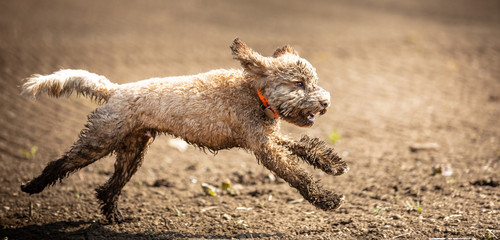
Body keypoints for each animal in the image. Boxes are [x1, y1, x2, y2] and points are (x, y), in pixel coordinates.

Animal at [19, 37, 348, 223]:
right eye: (299, 83)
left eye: (313, 81)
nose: (325, 103)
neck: (254, 92)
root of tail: (114, 91)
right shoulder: (263, 146)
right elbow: (299, 176)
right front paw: (326, 199)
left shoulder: (269, 137)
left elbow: (305, 147)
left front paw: (332, 164)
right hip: (101, 138)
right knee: (61, 163)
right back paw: (33, 186)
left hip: (133, 149)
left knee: (109, 186)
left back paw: (114, 216)